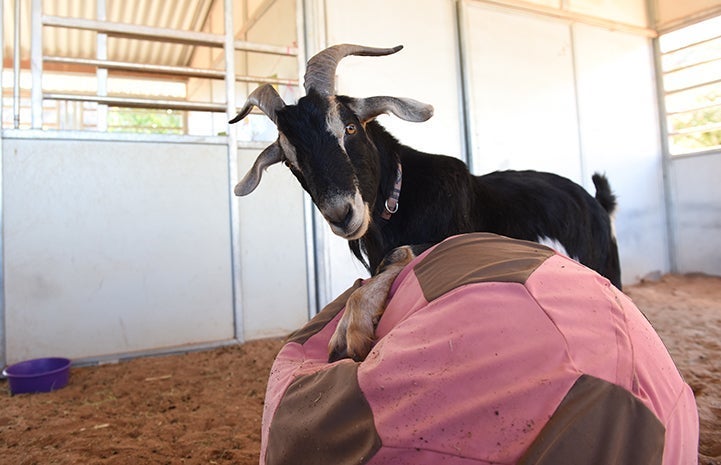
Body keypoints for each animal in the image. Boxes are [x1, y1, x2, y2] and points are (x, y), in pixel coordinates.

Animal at [229, 43, 620, 360]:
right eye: (291, 161)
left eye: (350, 128)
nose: (342, 214)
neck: (400, 199)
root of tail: (596, 203)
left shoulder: (459, 239)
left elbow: (399, 254)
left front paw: (350, 329)